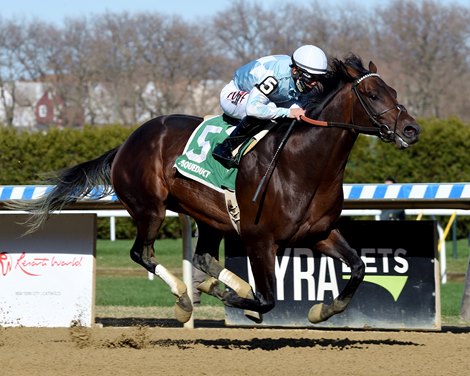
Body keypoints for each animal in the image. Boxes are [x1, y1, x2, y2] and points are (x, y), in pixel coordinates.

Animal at [11, 55, 418, 324]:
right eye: (374, 95)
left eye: (395, 89)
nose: (412, 130)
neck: (303, 164)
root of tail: (127, 142)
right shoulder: (259, 239)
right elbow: (267, 299)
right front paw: (223, 295)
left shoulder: (319, 233)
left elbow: (359, 267)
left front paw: (324, 308)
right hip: (150, 208)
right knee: (142, 253)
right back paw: (184, 298)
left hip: (208, 216)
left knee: (205, 257)